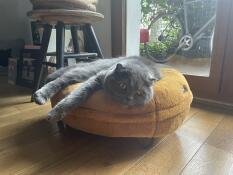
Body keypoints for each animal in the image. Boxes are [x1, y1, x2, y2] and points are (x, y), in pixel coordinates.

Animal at [33, 56, 162, 121]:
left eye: (139, 93)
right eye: (123, 85)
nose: (129, 98)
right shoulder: (97, 77)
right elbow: (76, 95)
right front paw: (55, 114)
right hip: (85, 72)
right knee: (60, 79)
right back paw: (40, 95)